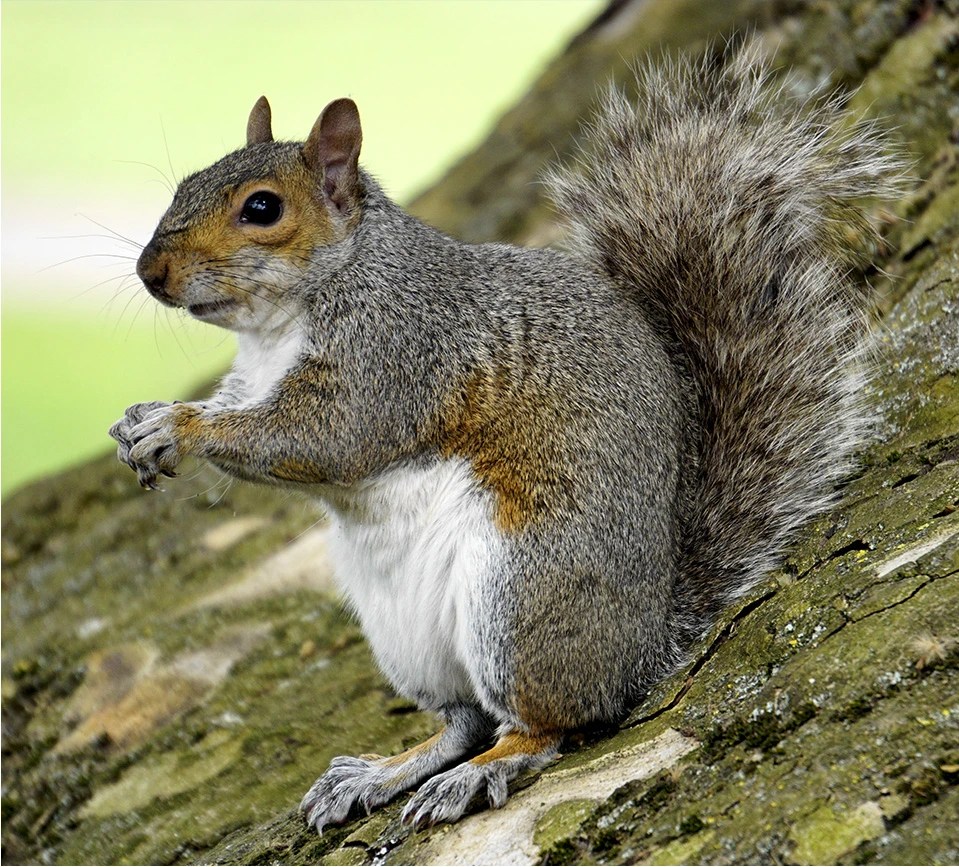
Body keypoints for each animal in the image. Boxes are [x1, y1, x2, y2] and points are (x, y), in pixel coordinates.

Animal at [109, 50, 899, 830]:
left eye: (262, 208)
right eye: (185, 184)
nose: (150, 272)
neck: (285, 319)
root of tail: (644, 642)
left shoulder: (392, 356)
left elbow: (323, 438)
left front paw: (180, 428)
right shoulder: (255, 378)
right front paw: (142, 420)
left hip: (520, 595)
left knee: (546, 725)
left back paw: (478, 773)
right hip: (407, 637)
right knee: (464, 721)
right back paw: (384, 771)